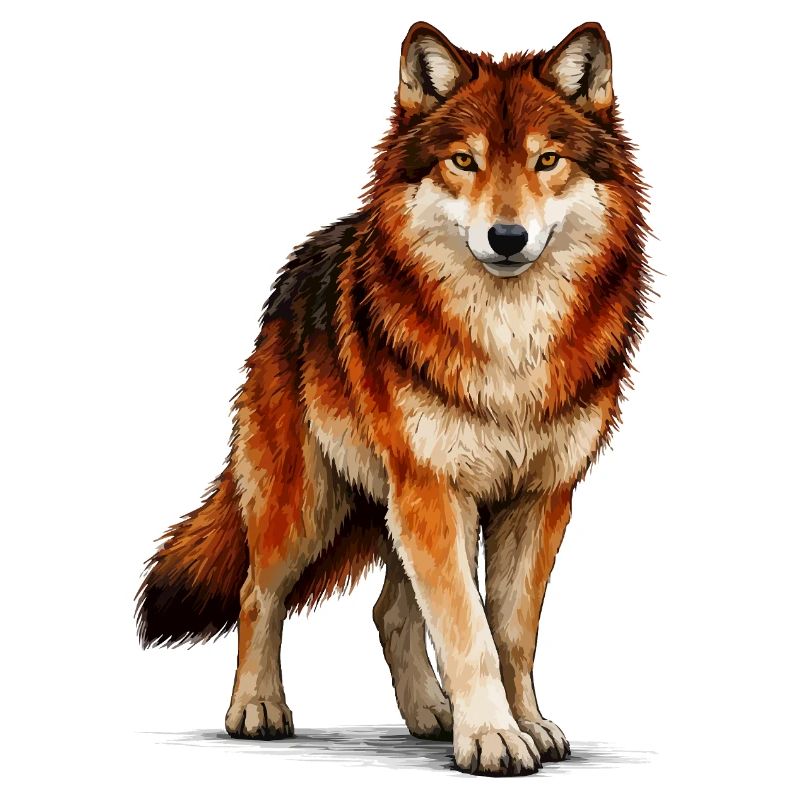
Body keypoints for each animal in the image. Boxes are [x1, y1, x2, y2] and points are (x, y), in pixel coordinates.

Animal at [136, 20, 649, 776]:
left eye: (546, 160)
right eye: (463, 162)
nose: (507, 238)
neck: (509, 342)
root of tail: (300, 267)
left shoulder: (539, 499)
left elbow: (511, 633)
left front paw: (525, 724)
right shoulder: (434, 490)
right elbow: (469, 631)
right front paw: (493, 738)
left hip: (399, 509)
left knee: (390, 612)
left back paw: (433, 715)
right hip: (311, 504)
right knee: (259, 593)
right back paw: (257, 709)